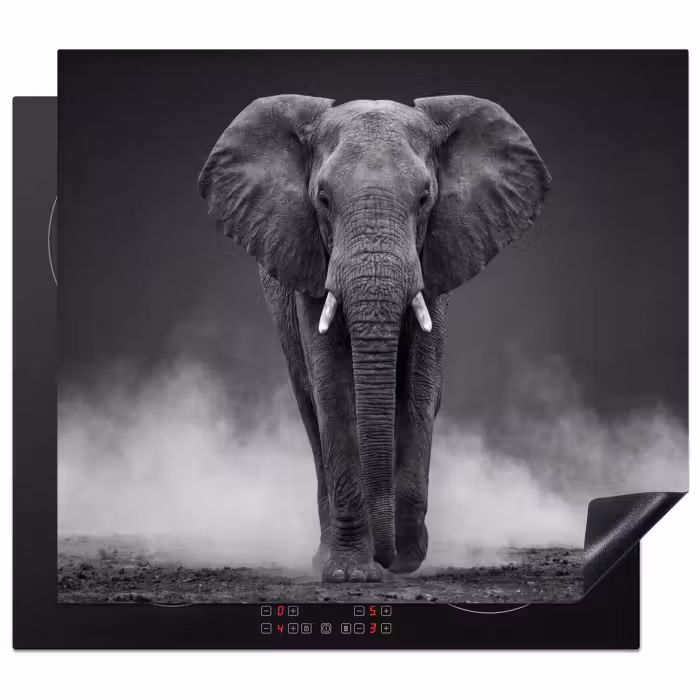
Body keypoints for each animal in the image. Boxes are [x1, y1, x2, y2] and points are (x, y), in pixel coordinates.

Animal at [198, 94, 550, 583]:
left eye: (424, 198)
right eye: (323, 199)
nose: (389, 558)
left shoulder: (434, 260)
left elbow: (420, 389)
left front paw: (407, 557)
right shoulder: (310, 262)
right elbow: (333, 393)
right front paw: (350, 573)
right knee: (310, 412)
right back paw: (324, 556)